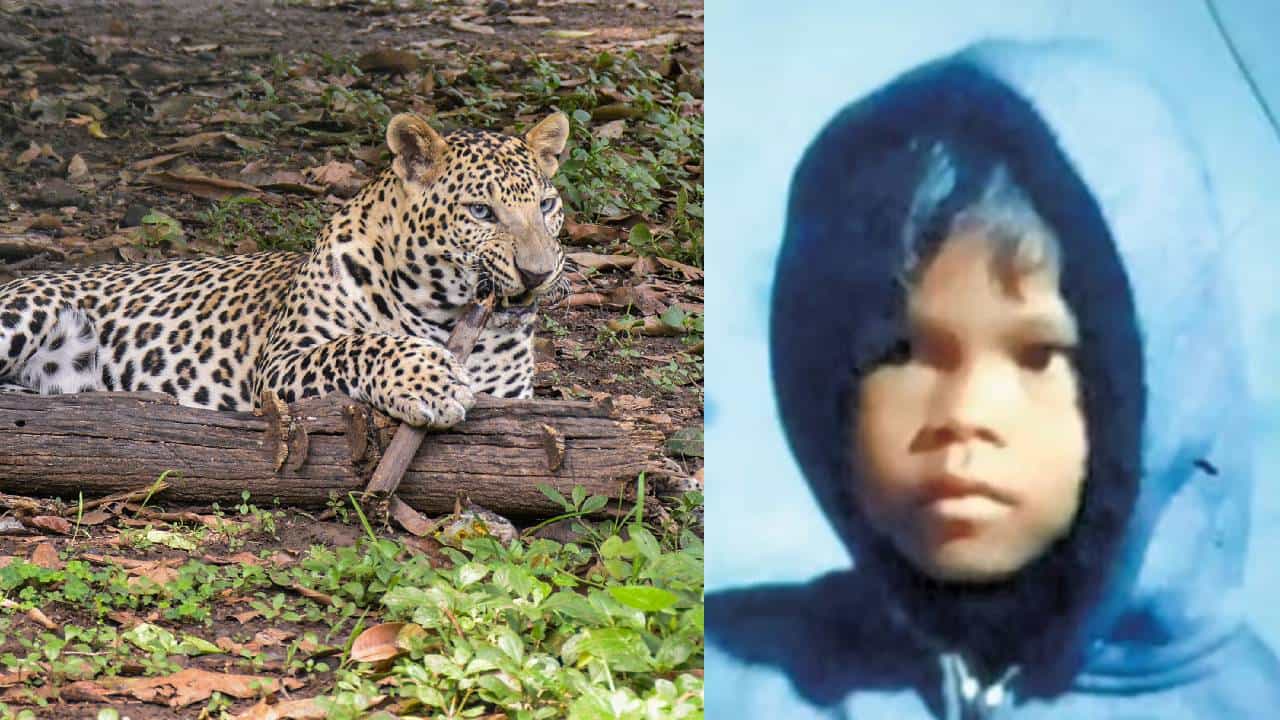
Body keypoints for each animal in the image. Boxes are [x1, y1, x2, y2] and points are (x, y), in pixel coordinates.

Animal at [0, 111, 572, 429]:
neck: (443, 307)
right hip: (31, 306)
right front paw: (431, 383)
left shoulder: (512, 396)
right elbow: (360, 344)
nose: (538, 274)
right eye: (481, 212)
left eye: (546, 205)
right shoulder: (279, 367)